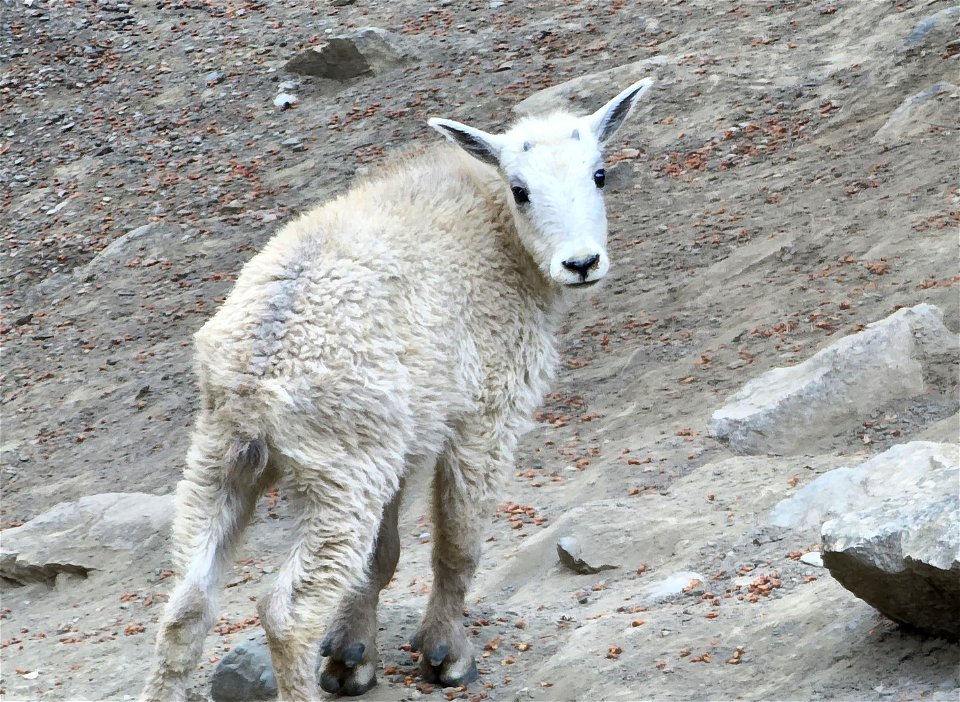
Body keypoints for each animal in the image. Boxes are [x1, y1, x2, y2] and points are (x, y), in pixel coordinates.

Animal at [141, 77, 652, 702]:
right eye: (520, 189)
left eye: (599, 174)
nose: (581, 263)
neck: (496, 233)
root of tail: (254, 377)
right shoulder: (485, 415)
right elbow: (458, 543)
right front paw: (446, 655)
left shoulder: (401, 444)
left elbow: (381, 558)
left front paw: (351, 658)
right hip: (341, 475)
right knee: (287, 613)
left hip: (221, 461)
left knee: (186, 605)